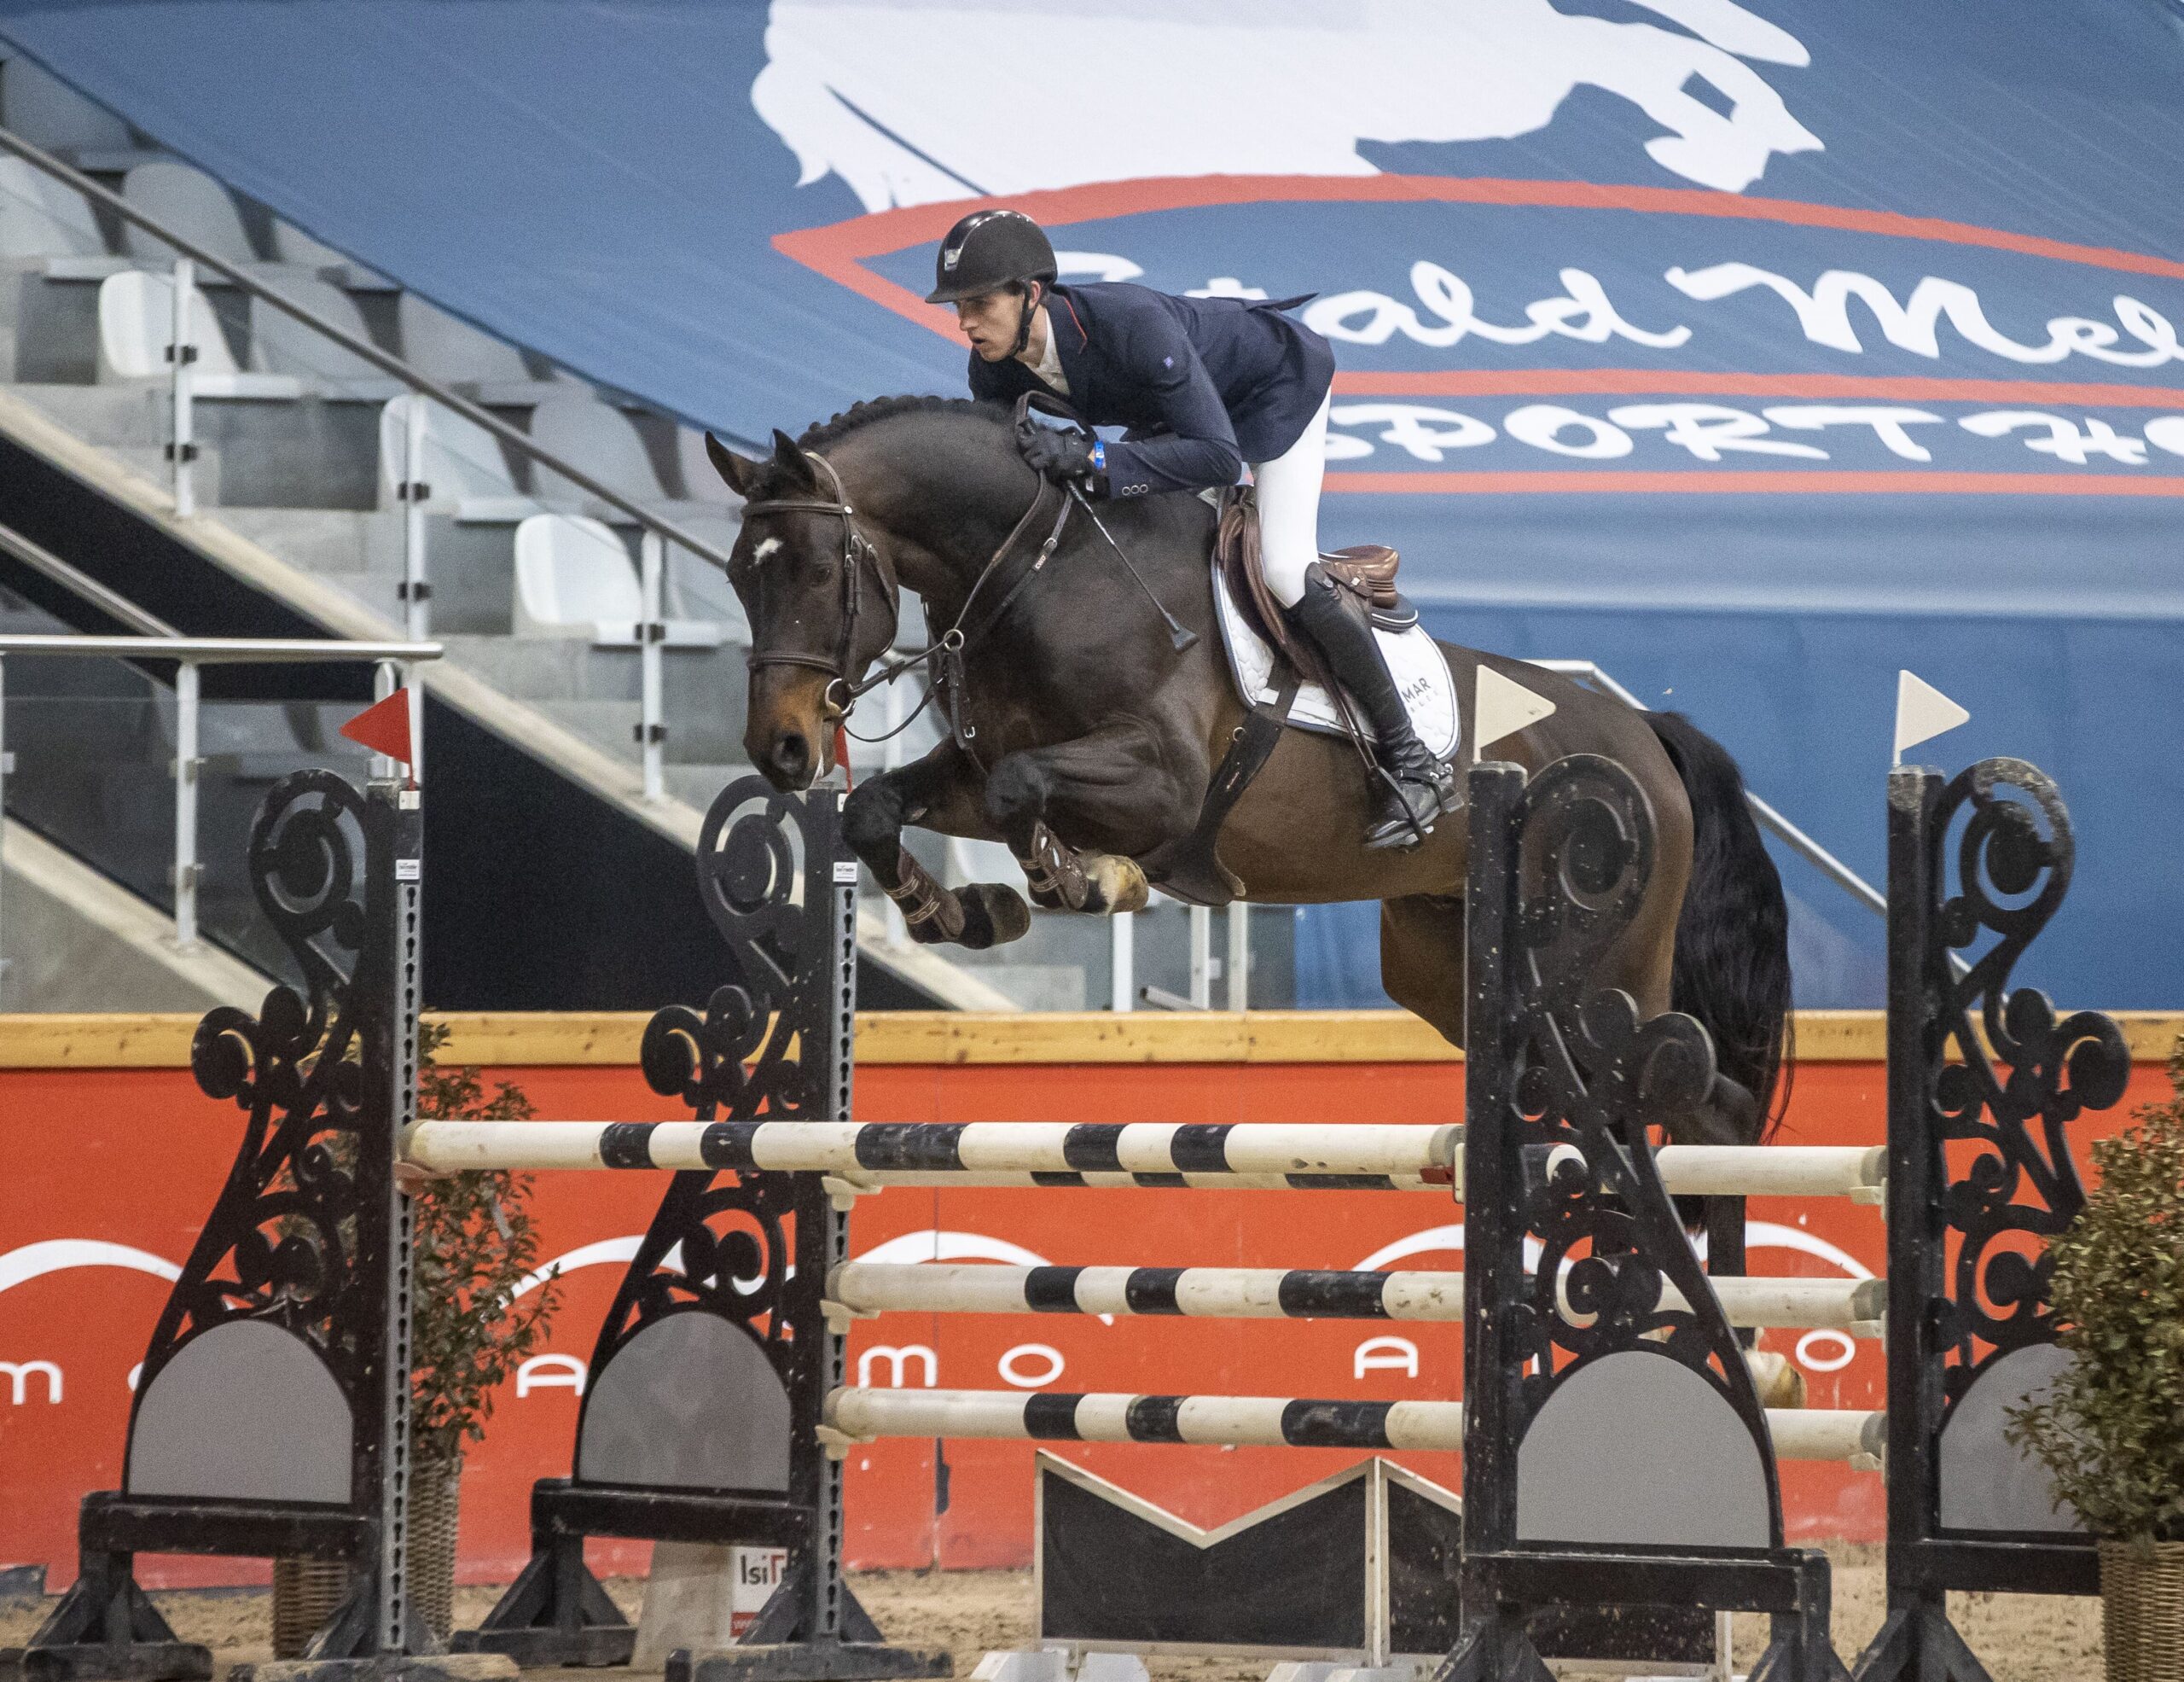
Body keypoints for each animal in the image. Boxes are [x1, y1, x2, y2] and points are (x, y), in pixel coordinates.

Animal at [703, 399, 1791, 1144]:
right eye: (737, 577)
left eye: (813, 570)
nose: (780, 751)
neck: (1038, 571)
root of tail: (1645, 734)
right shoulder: (976, 766)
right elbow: (880, 808)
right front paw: (962, 913)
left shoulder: (1162, 782)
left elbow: (1030, 801)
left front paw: (1082, 880)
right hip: (1449, 964)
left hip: (1609, 976)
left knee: (1701, 1104)